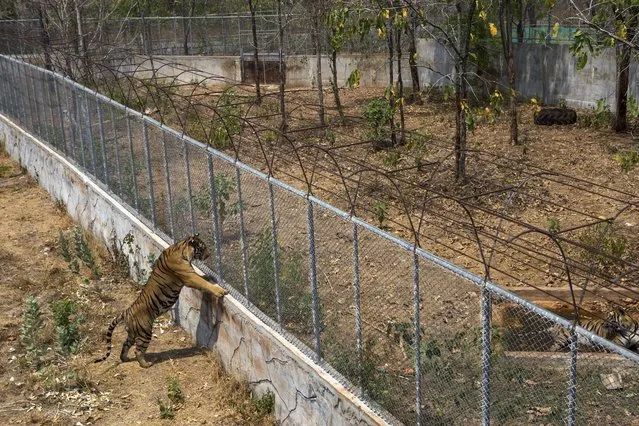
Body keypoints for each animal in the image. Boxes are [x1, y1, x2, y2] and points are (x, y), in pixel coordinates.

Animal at [94, 233, 226, 366]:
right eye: (203, 248)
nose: (209, 255)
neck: (181, 248)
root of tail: (127, 311)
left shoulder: (191, 274)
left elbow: (202, 279)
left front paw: (208, 276)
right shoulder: (189, 277)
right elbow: (203, 283)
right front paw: (221, 291)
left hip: (132, 333)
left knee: (125, 344)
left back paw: (124, 358)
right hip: (144, 332)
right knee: (138, 350)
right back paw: (146, 364)